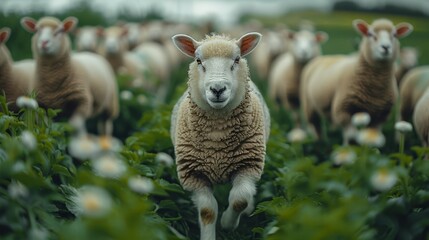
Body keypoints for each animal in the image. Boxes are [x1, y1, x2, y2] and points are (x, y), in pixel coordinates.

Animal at [170, 32, 268, 240]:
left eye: (237, 60)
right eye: (198, 61)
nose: (217, 89)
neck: (217, 143)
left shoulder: (248, 165)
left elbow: (239, 200)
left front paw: (227, 224)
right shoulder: (193, 174)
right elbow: (207, 211)